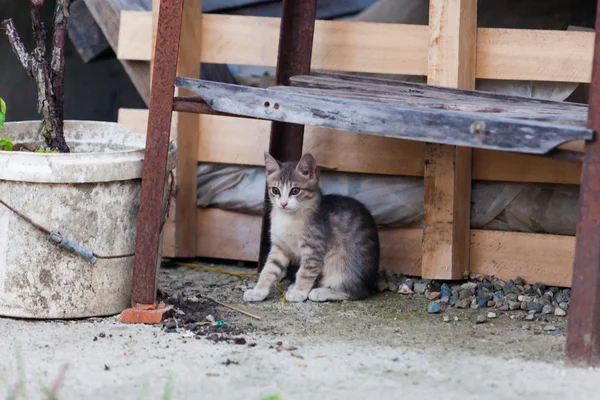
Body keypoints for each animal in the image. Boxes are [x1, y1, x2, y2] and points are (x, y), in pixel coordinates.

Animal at [244, 152, 380, 302]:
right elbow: (268, 269)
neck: (289, 218)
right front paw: (258, 291)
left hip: (345, 265)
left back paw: (320, 292)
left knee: (356, 292)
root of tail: (370, 283)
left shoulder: (314, 249)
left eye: (295, 190)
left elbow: (305, 272)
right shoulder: (280, 246)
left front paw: (299, 292)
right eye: (275, 190)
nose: (283, 203)